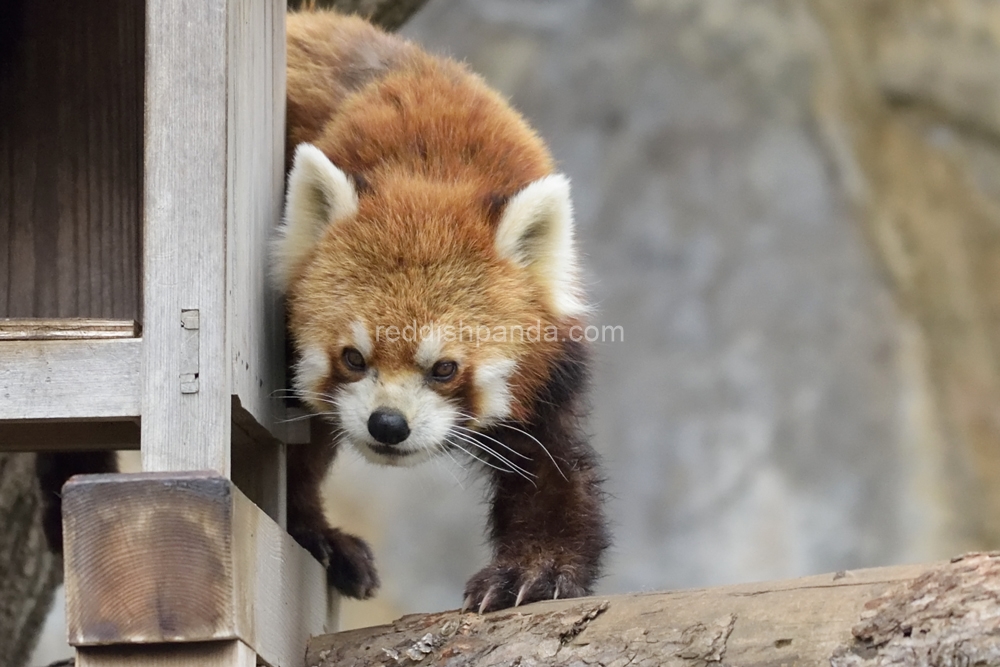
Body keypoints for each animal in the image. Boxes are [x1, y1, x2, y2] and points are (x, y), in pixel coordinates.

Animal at [276, 11, 608, 616]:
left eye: (445, 368)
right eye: (353, 358)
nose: (387, 424)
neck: (431, 157)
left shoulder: (550, 364)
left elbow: (551, 459)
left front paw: (535, 569)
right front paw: (314, 531)